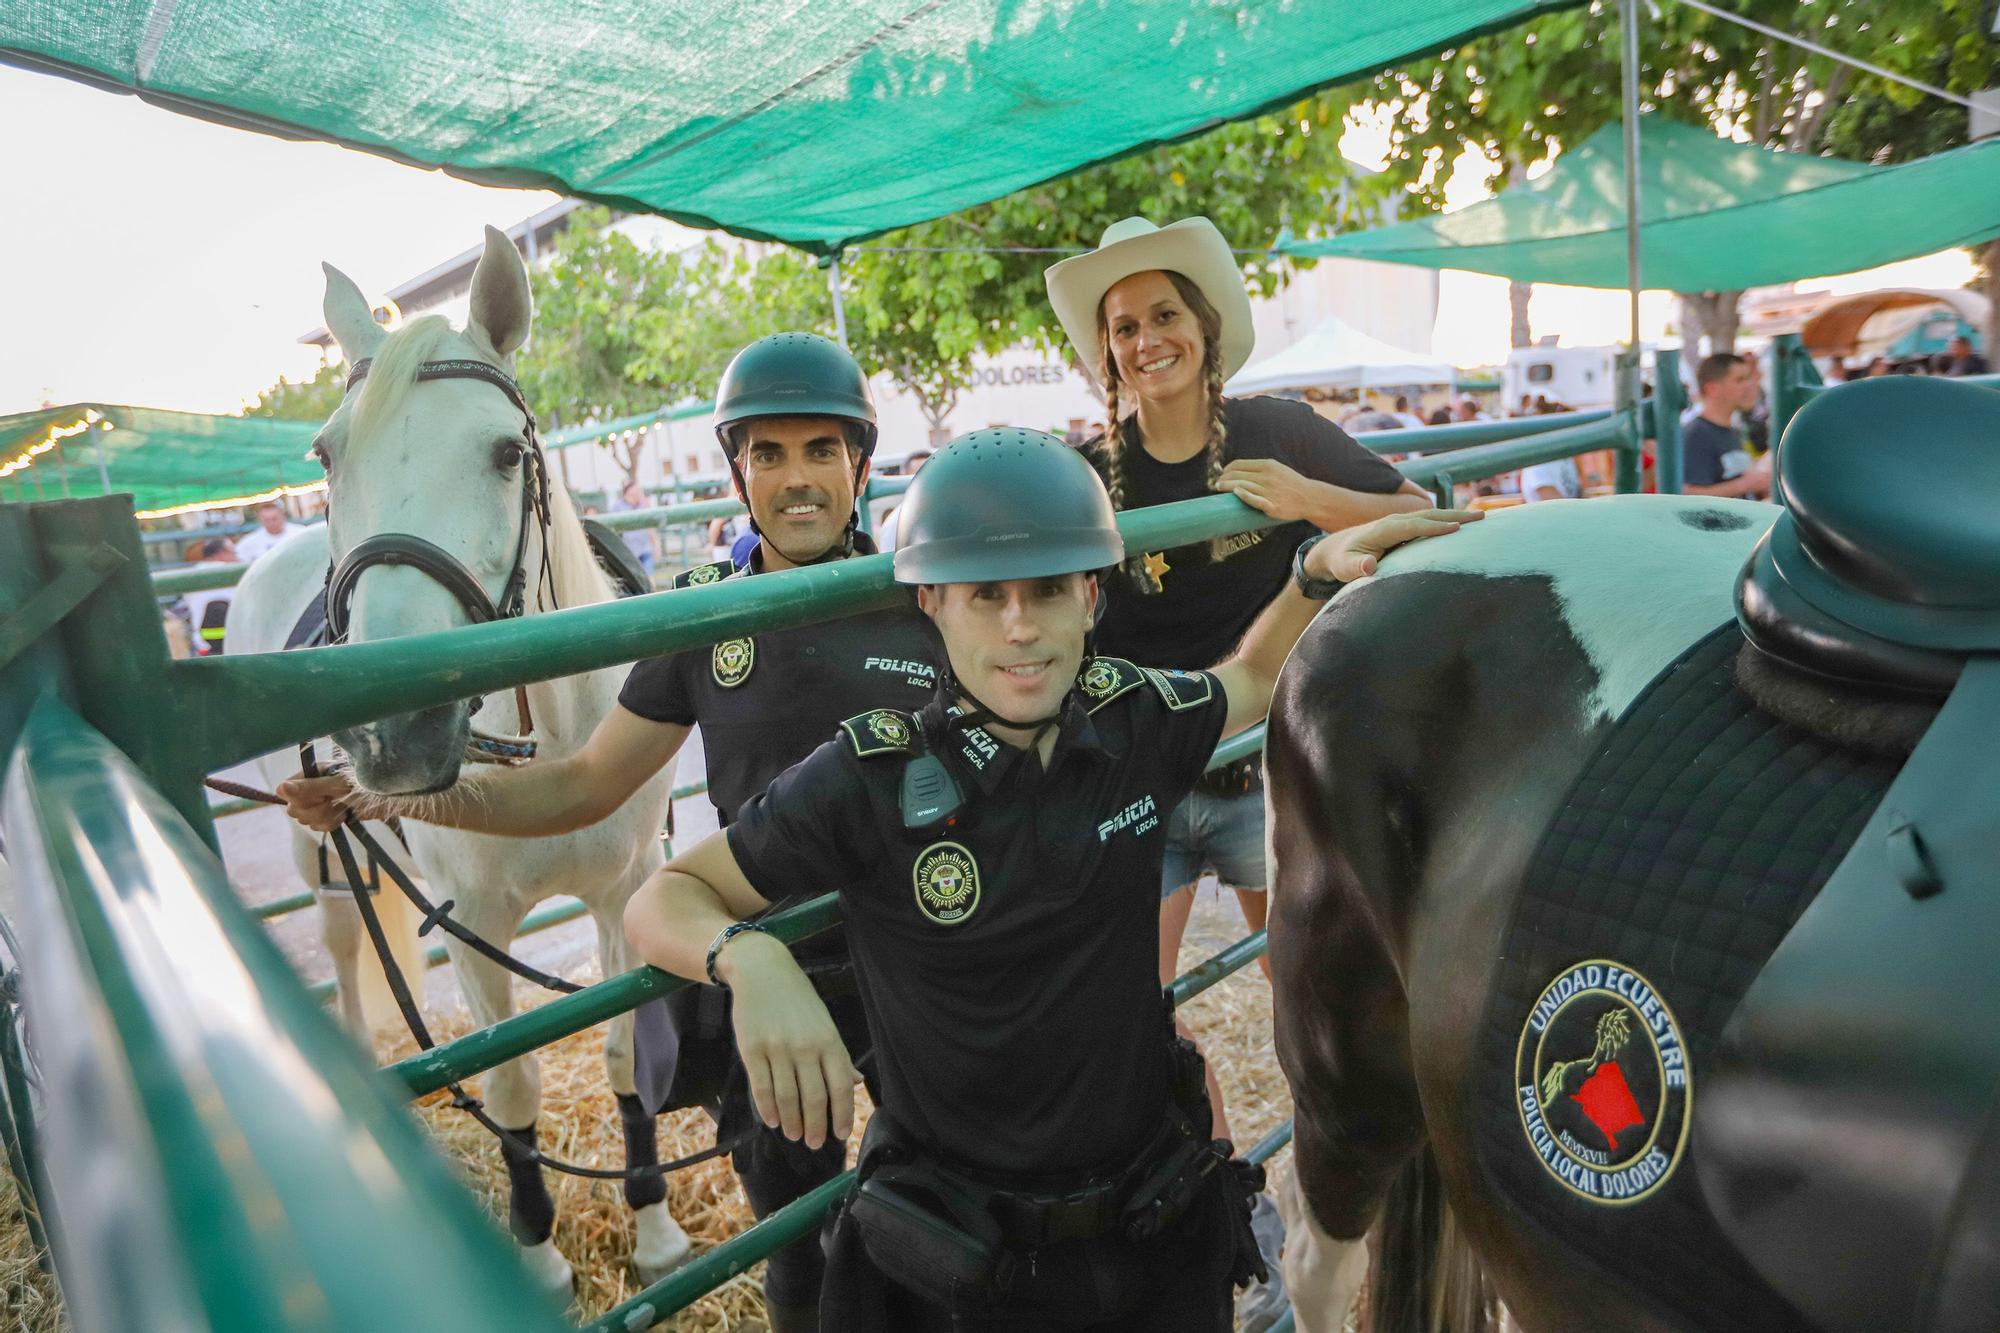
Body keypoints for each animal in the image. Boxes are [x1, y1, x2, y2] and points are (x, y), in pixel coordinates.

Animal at [227, 226, 692, 1288]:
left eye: (505, 451)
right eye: (326, 454)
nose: (390, 728)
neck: (548, 733)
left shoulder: (623, 889)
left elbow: (622, 1051)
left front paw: (653, 1229)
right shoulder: (475, 923)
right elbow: (512, 1077)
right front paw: (539, 1252)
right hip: (323, 863)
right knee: (347, 948)